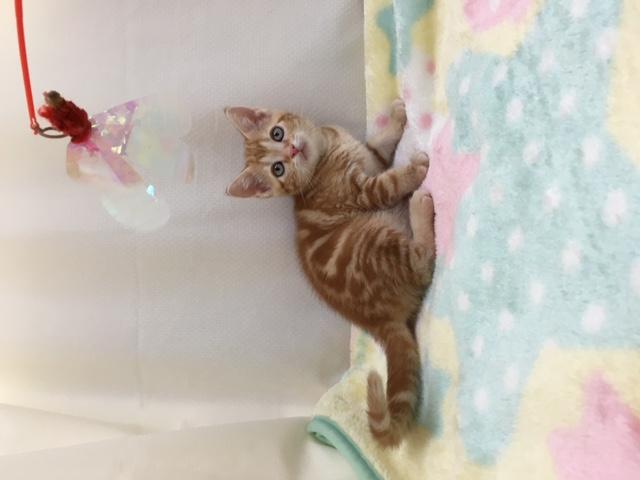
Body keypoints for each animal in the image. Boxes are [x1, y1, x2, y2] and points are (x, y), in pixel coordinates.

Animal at [224, 100, 436, 447]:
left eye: (277, 133)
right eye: (277, 170)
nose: (292, 150)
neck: (327, 150)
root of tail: (376, 321)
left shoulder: (372, 157)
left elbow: (379, 143)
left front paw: (394, 117)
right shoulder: (363, 192)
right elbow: (390, 182)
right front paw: (413, 171)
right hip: (374, 241)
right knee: (423, 263)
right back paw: (420, 209)